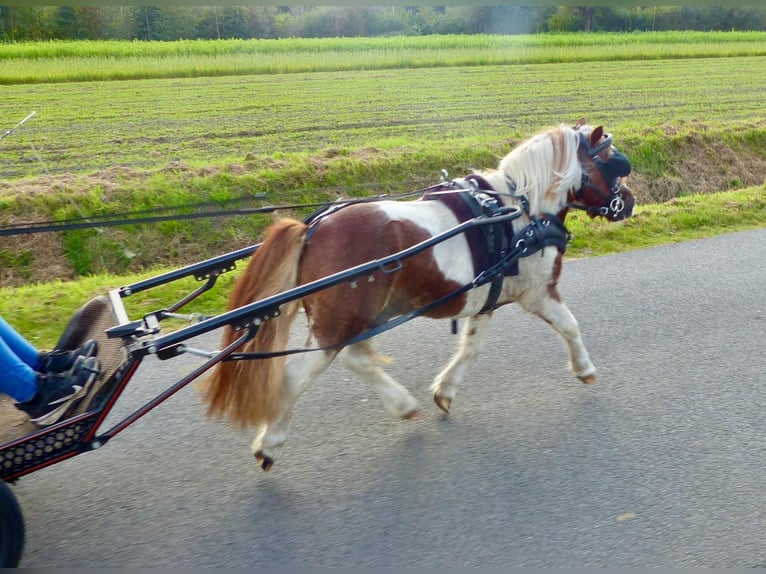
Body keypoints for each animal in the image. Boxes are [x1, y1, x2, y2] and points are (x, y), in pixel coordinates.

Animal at [198, 121, 636, 472]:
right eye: (612, 162)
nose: (629, 202)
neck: (521, 212)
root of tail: (313, 228)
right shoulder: (538, 292)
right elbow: (569, 325)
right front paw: (584, 368)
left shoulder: (487, 297)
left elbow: (471, 347)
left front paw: (445, 391)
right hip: (339, 321)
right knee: (296, 374)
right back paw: (270, 444)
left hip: (352, 319)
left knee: (357, 359)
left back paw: (402, 405)